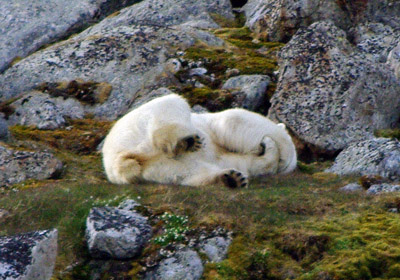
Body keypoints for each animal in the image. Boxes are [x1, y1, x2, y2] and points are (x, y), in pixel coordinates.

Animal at [101, 94, 296, 188]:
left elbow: (253, 164)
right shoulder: (218, 126)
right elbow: (235, 121)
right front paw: (273, 143)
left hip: (160, 170)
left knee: (193, 173)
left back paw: (231, 179)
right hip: (139, 125)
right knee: (172, 106)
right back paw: (185, 142)